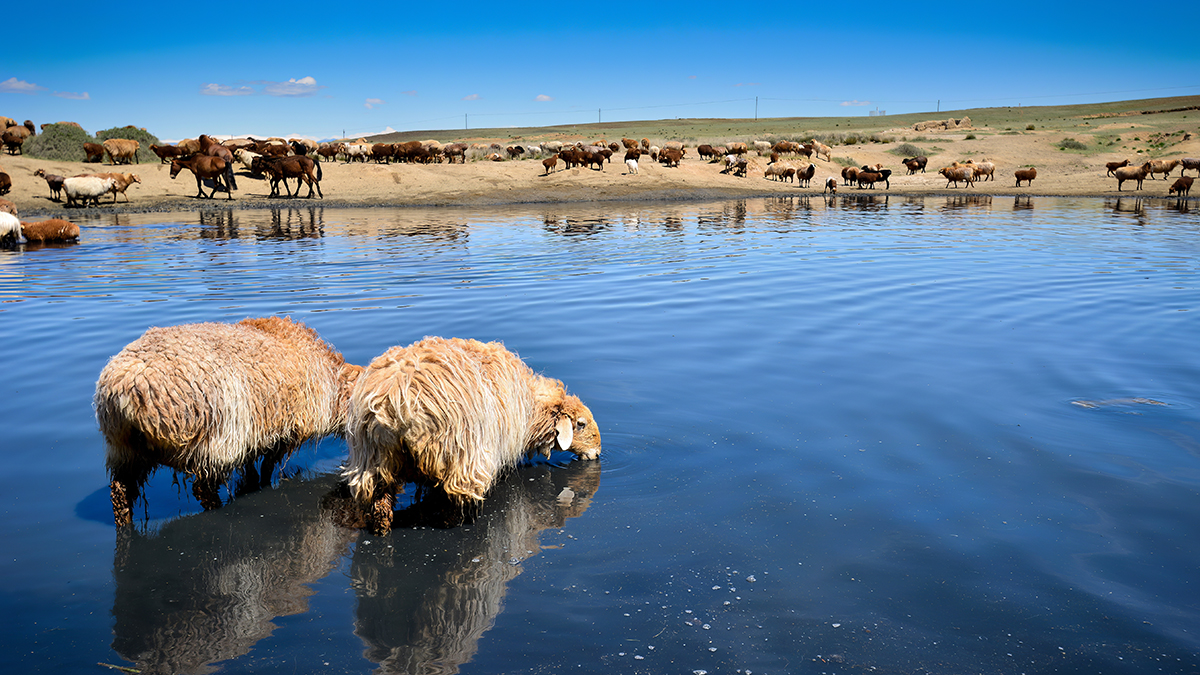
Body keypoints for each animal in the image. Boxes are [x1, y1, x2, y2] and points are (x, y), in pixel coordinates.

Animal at [94, 314, 360, 526]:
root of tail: (128, 384)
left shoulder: (256, 434)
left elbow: (253, 466)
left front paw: (252, 482)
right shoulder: (283, 432)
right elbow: (267, 466)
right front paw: (263, 484)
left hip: (123, 450)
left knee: (120, 492)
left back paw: (124, 525)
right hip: (212, 444)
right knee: (202, 488)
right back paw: (218, 509)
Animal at [340, 333, 600, 530]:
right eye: (581, 424)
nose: (597, 453)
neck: (531, 409)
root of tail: (396, 399)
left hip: (371, 459)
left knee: (379, 499)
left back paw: (381, 527)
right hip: (458, 456)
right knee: (456, 496)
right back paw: (456, 520)